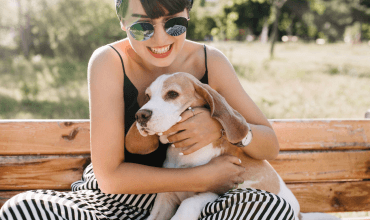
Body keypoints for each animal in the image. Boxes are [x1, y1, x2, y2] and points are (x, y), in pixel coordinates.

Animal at [125, 72, 342, 220]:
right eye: (147, 96)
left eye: (172, 94)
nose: (141, 115)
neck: (182, 155)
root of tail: (299, 214)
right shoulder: (166, 198)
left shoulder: (214, 190)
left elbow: (188, 203)